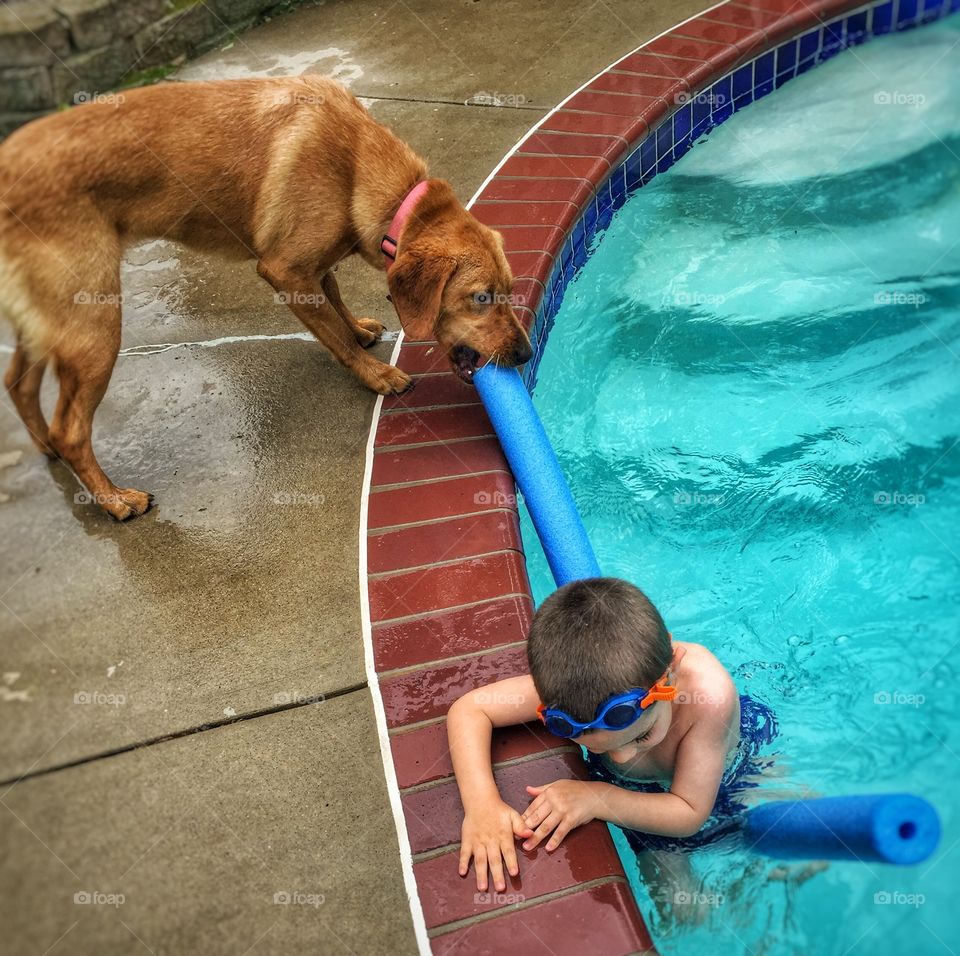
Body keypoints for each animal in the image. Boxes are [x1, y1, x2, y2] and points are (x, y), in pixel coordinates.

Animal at [0, 77, 532, 520]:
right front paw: (376, 375)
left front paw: (359, 329)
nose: (526, 354)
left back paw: (46, 449)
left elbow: (335, 297)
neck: (359, 164)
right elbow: (334, 337)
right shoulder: (284, 269)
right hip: (94, 321)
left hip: (50, 323)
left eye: (507, 291)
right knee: (71, 428)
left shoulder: (313, 265)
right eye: (480, 297)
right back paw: (114, 501)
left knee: (18, 385)